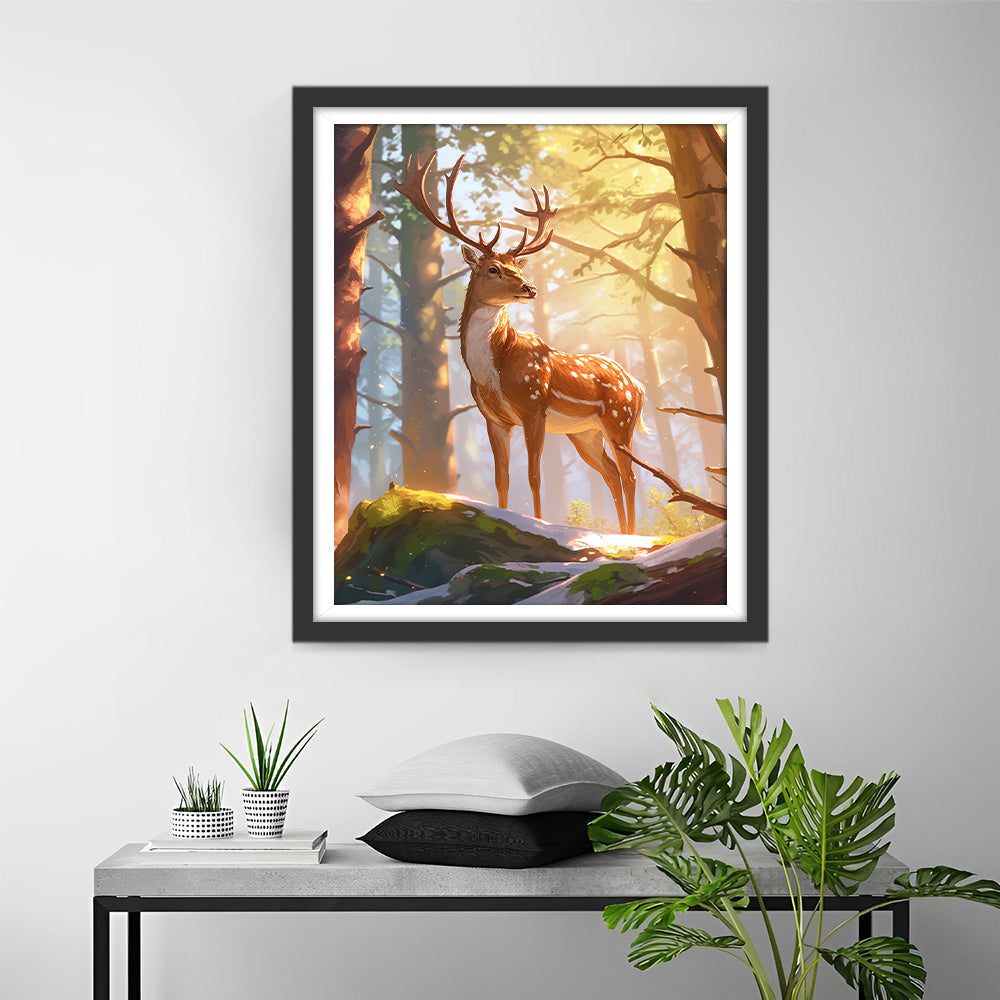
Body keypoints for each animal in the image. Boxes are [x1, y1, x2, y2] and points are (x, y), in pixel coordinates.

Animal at [395, 152, 648, 534]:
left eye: (518, 267)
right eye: (493, 269)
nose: (531, 288)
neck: (492, 372)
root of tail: (638, 386)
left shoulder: (534, 407)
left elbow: (534, 476)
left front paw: (541, 523)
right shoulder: (495, 419)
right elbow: (503, 479)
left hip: (620, 418)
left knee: (630, 475)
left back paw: (633, 536)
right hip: (584, 432)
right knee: (611, 474)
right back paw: (624, 533)